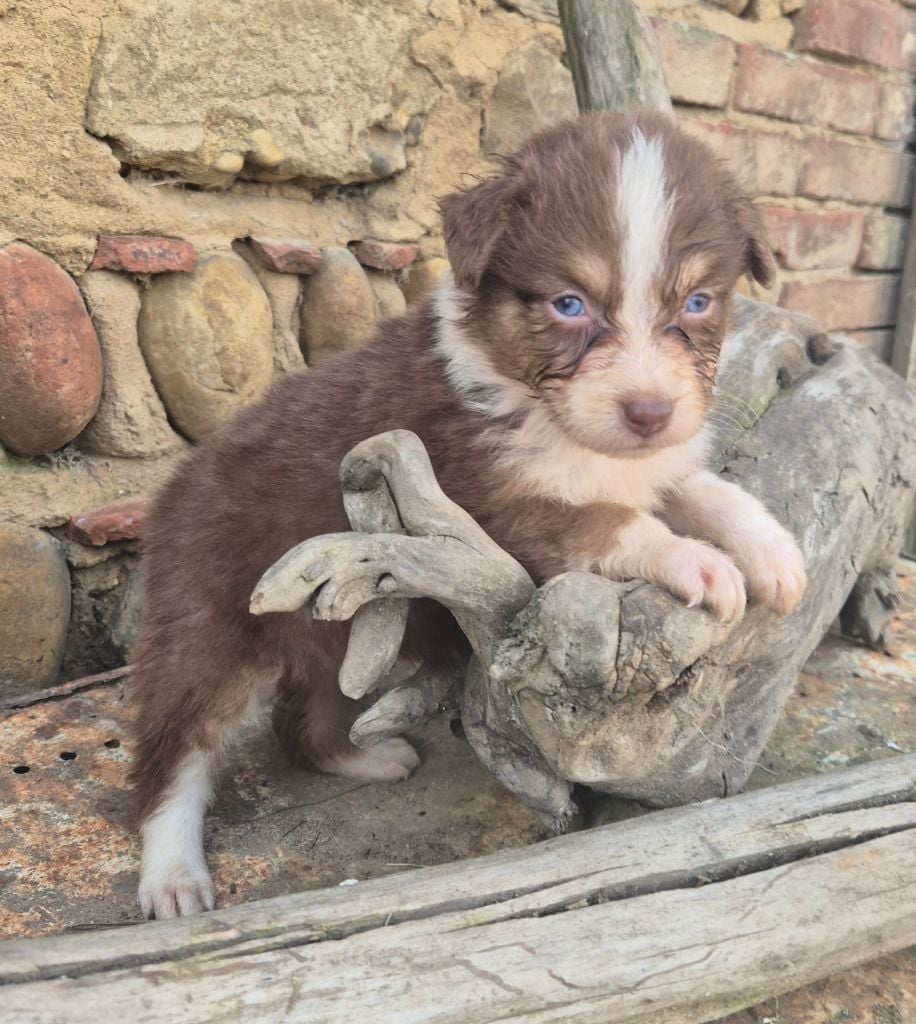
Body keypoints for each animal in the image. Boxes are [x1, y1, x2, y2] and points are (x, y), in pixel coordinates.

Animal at [133, 114, 806, 921]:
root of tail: (175, 488)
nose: (648, 412)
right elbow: (611, 521)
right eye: (569, 304)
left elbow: (700, 488)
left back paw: (365, 756)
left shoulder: (639, 464)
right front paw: (697, 563)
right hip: (208, 618)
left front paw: (772, 551)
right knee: (175, 751)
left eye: (699, 303)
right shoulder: (492, 501)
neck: (541, 405)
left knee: (308, 722)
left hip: (345, 628)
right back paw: (172, 874)